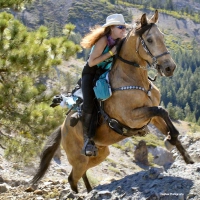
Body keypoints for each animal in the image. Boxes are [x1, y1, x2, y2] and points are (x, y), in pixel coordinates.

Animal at [31, 10, 194, 194]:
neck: (135, 80)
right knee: (72, 178)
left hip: (99, 154)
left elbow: (164, 116)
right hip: (78, 157)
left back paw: (90, 190)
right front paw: (170, 140)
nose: (169, 67)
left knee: (82, 173)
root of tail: (62, 128)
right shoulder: (132, 117)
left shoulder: (152, 116)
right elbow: (161, 110)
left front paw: (184, 154)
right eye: (150, 39)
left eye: (163, 37)